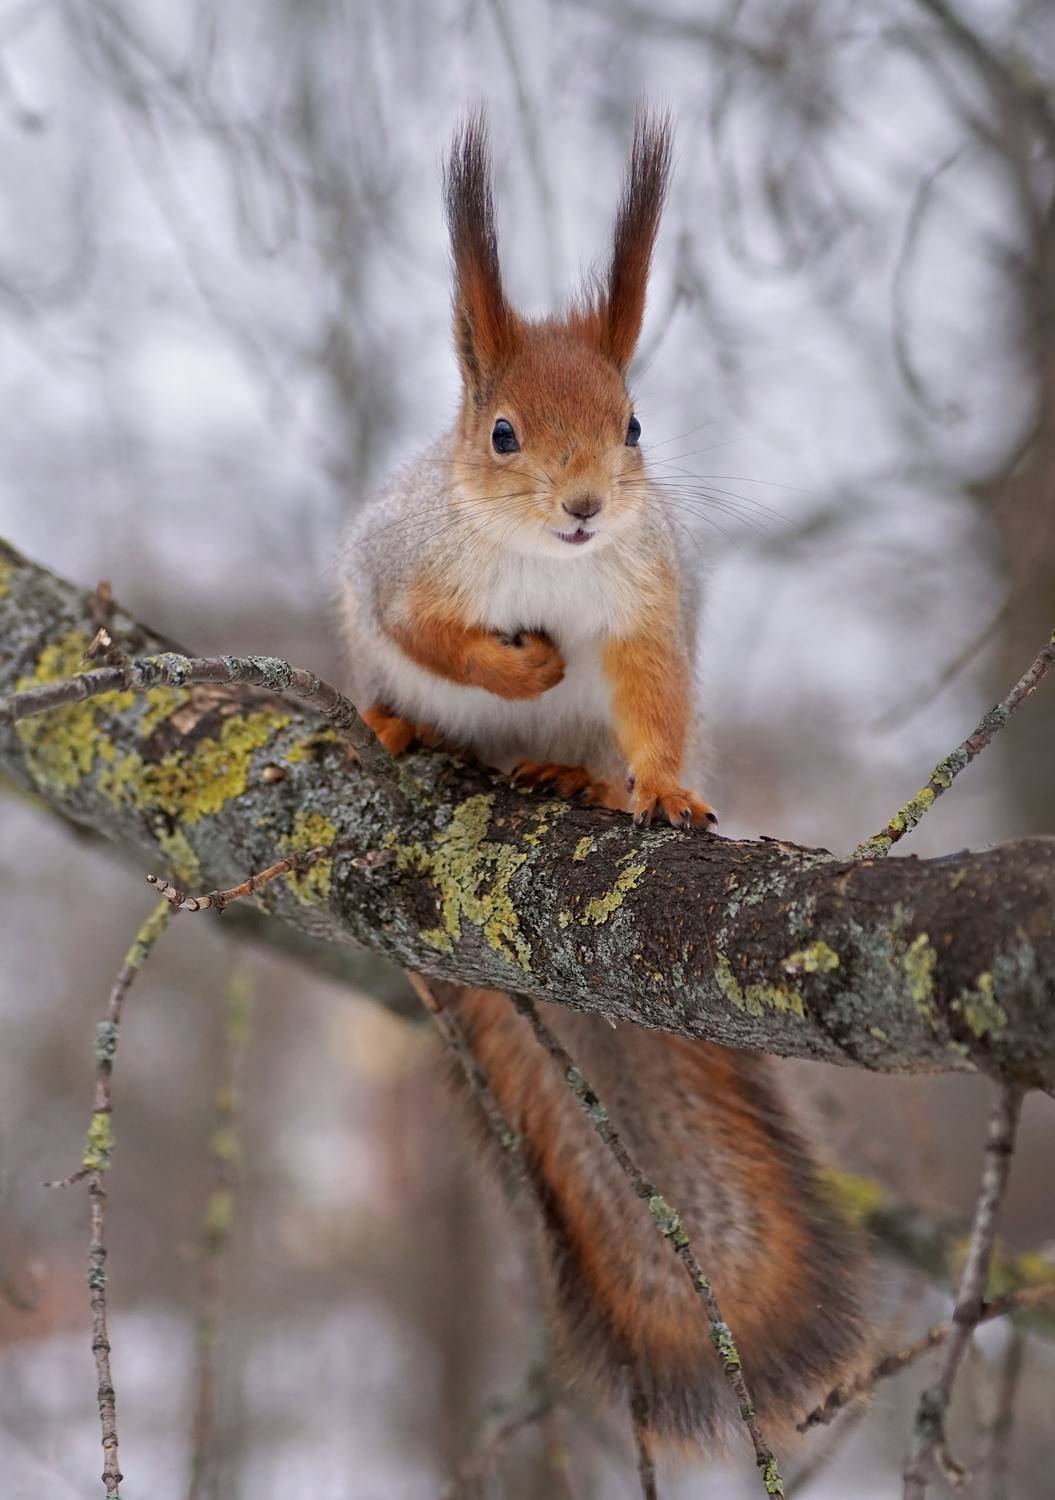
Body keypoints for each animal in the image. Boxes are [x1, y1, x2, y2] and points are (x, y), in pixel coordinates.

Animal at [338, 110, 869, 1449]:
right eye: (501, 435)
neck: (550, 563)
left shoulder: (643, 601)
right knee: (404, 690)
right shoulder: (398, 572)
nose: (582, 507)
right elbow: (430, 636)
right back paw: (409, 725)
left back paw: (566, 778)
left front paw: (661, 789)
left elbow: (653, 698)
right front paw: (510, 666)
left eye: (632, 423)